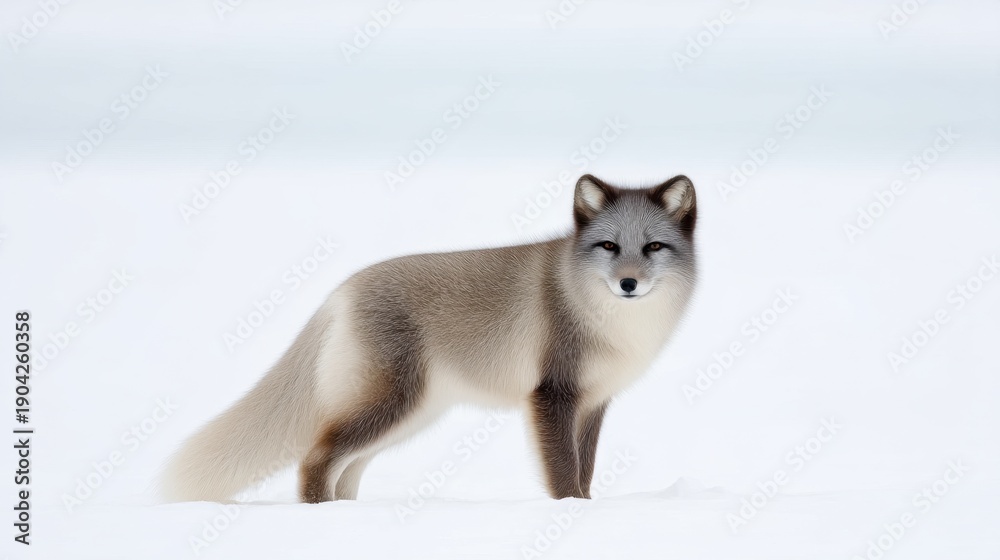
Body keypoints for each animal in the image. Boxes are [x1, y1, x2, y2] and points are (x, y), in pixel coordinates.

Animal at [161, 173, 698, 503]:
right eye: (608, 245)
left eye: (653, 247)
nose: (628, 284)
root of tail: (341, 290)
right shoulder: (553, 396)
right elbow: (564, 474)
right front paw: (572, 513)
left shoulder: (592, 404)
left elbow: (583, 473)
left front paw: (587, 508)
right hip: (394, 404)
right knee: (316, 456)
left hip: (407, 415)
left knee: (345, 467)